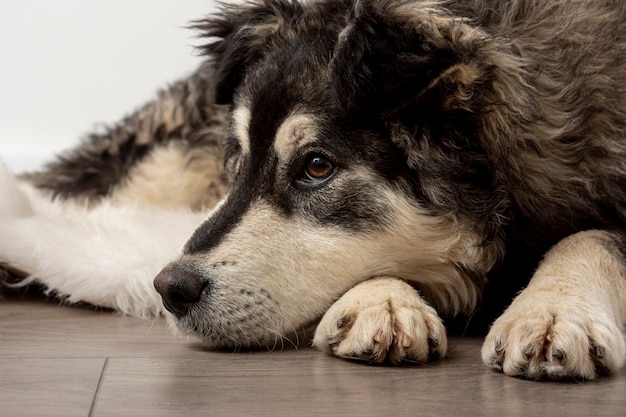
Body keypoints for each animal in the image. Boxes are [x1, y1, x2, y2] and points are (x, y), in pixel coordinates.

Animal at [1, 0, 624, 380]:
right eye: (238, 162)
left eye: (317, 167)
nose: (170, 288)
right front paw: (380, 302)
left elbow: (590, 237)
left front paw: (552, 311)